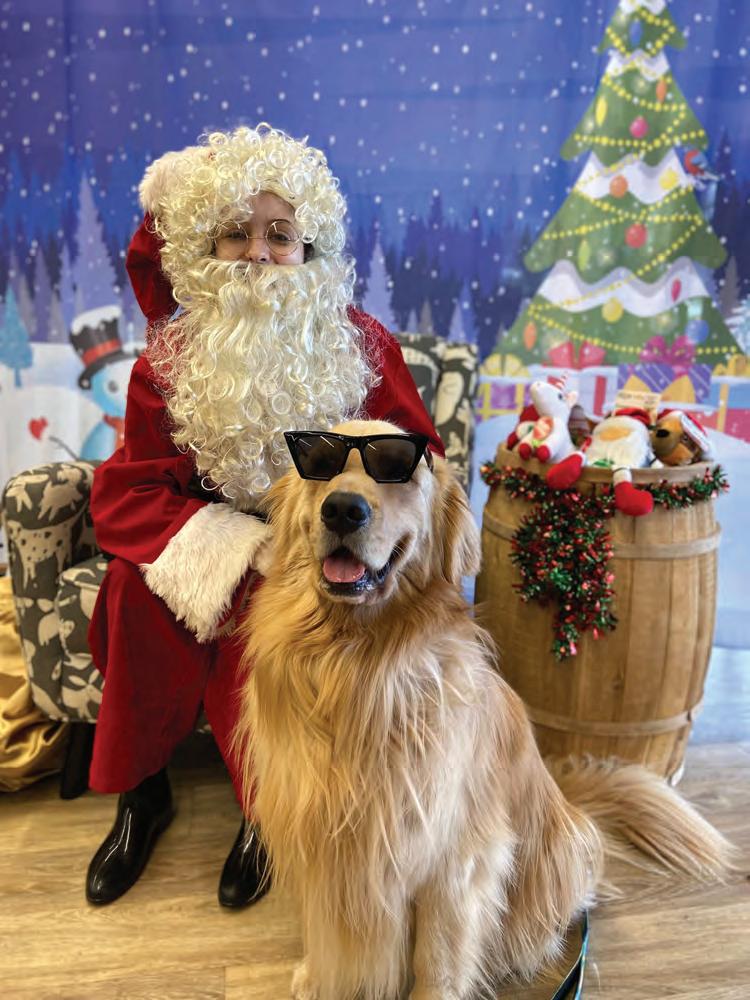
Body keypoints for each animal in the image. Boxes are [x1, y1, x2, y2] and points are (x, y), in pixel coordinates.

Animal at [234, 419, 732, 1000]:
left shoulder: (453, 860)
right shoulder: (316, 832)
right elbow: (323, 926)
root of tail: (572, 806)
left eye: (399, 467)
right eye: (318, 460)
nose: (342, 509)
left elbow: (437, 961)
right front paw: (318, 977)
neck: (355, 666)